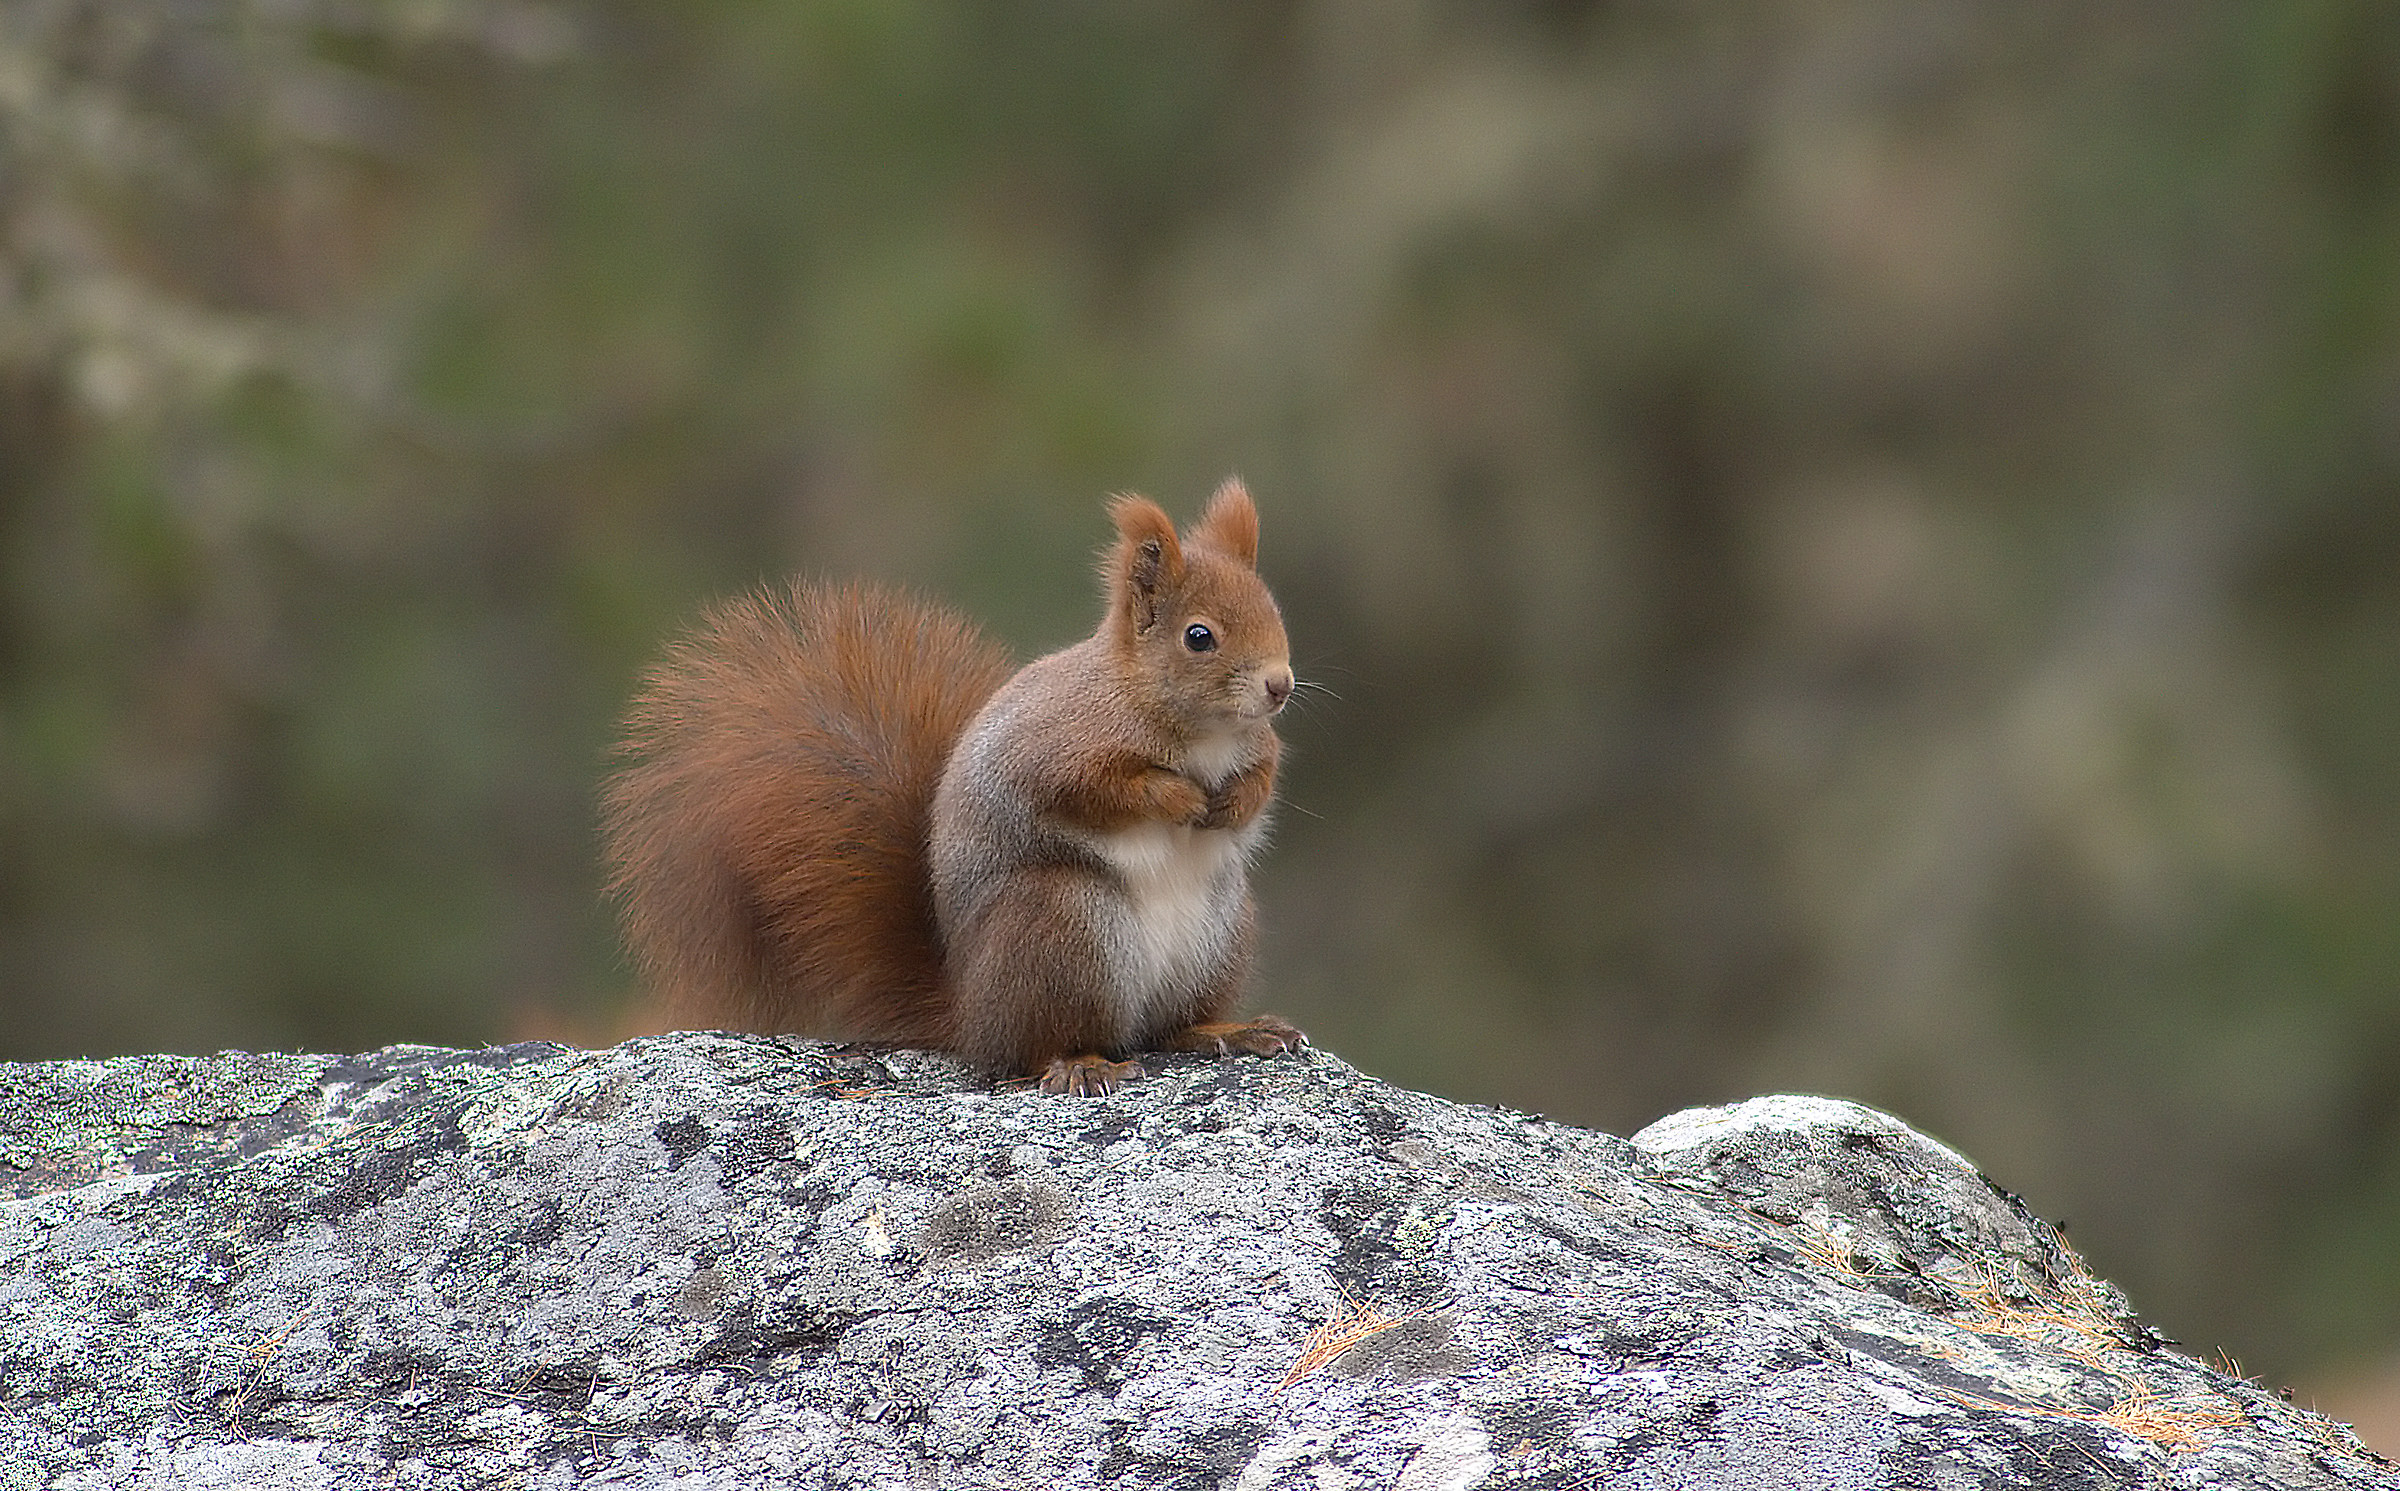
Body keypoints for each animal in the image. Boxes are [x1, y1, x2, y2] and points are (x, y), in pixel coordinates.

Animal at [601, 480, 1306, 1096]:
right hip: (1061, 926)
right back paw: (1079, 1063)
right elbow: (1096, 792)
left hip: (1219, 934)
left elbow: (1263, 778)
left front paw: (1234, 802)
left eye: (1274, 610)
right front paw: (1179, 797)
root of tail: (968, 1013)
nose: (1280, 685)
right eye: (1199, 637)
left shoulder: (1259, 745)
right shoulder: (1052, 749)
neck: (1200, 731)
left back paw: (1227, 1029)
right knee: (1039, 1045)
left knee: (1168, 1027)